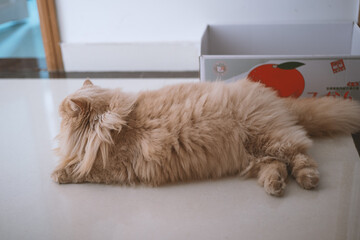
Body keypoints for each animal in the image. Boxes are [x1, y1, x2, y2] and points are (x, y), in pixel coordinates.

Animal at [52, 79, 360, 196]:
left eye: (64, 115)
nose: (57, 112)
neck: (115, 123)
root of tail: (277, 101)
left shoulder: (114, 167)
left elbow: (82, 170)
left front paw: (58, 174)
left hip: (269, 138)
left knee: (300, 155)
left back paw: (308, 180)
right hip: (257, 151)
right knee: (277, 166)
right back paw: (275, 186)